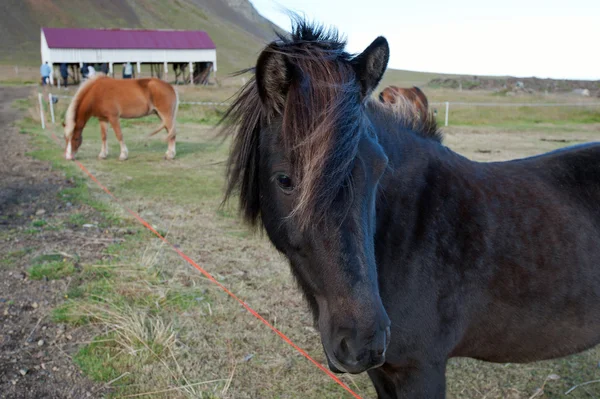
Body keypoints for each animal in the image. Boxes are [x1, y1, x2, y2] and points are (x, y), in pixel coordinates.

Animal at [223, 18, 600, 399]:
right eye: (284, 179)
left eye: (379, 168)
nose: (363, 341)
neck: (407, 234)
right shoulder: (384, 372)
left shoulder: (419, 370)